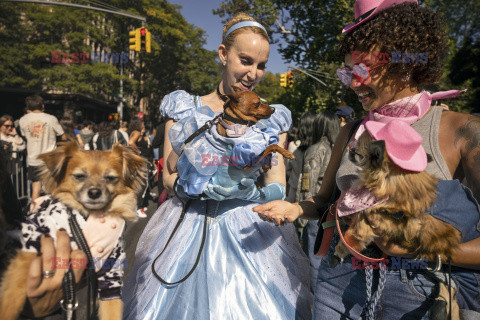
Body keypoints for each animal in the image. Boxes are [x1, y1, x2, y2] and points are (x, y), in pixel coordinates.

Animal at [0, 143, 148, 320]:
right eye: (79, 176)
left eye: (110, 178)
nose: (94, 192)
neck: (91, 215)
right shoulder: (31, 245)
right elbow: (12, 295)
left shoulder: (111, 273)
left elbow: (112, 310)